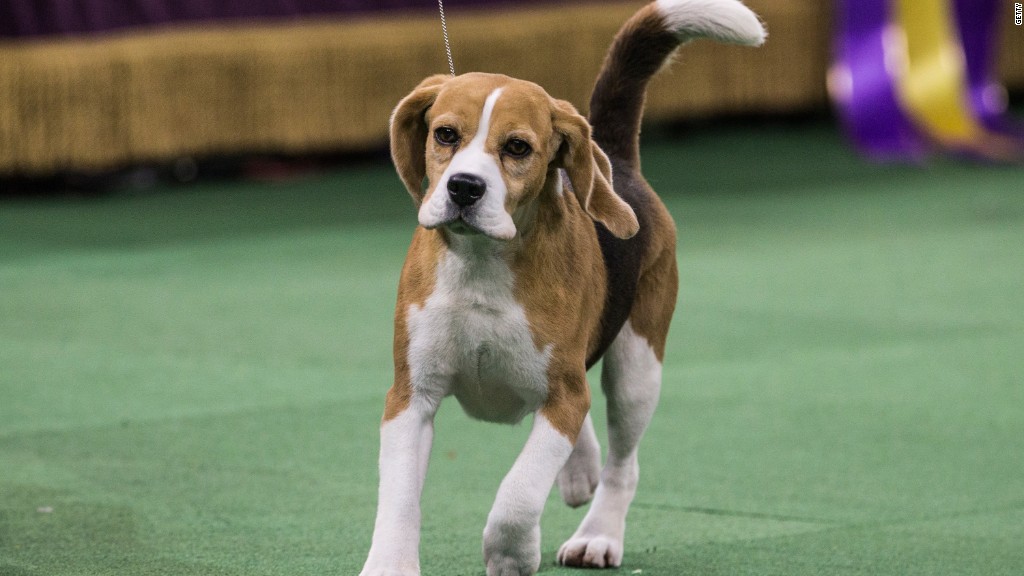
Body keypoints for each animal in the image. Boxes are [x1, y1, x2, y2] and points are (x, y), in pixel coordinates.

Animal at [360, 2, 761, 569]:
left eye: (517, 147)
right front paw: (389, 565)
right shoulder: (410, 397)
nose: (464, 188)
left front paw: (510, 553)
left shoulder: (562, 400)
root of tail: (616, 158)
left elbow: (519, 493)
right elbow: (398, 499)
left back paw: (599, 535)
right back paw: (580, 471)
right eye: (445, 135)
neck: (483, 264)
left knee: (623, 464)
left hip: (638, 366)